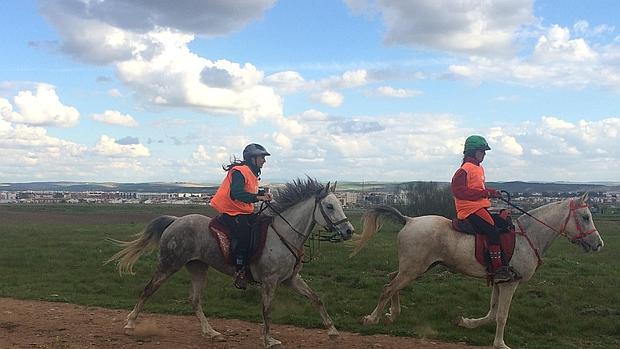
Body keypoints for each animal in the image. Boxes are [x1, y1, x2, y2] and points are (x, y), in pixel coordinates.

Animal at [108, 178, 354, 346]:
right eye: (329, 206)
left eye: (339, 203)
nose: (349, 231)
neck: (284, 234)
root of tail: (176, 220)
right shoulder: (270, 281)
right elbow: (267, 309)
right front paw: (268, 339)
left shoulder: (291, 279)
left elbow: (316, 298)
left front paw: (332, 331)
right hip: (169, 264)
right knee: (148, 290)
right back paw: (130, 324)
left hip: (198, 267)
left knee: (194, 299)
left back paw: (210, 332)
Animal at [352, 192, 604, 348]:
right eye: (585, 217)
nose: (598, 244)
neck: (527, 237)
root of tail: (409, 220)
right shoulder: (510, 284)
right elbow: (501, 315)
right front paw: (500, 344)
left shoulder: (500, 282)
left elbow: (492, 313)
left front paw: (467, 322)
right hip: (413, 268)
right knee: (388, 287)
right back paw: (372, 318)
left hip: (415, 268)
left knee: (392, 280)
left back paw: (392, 313)